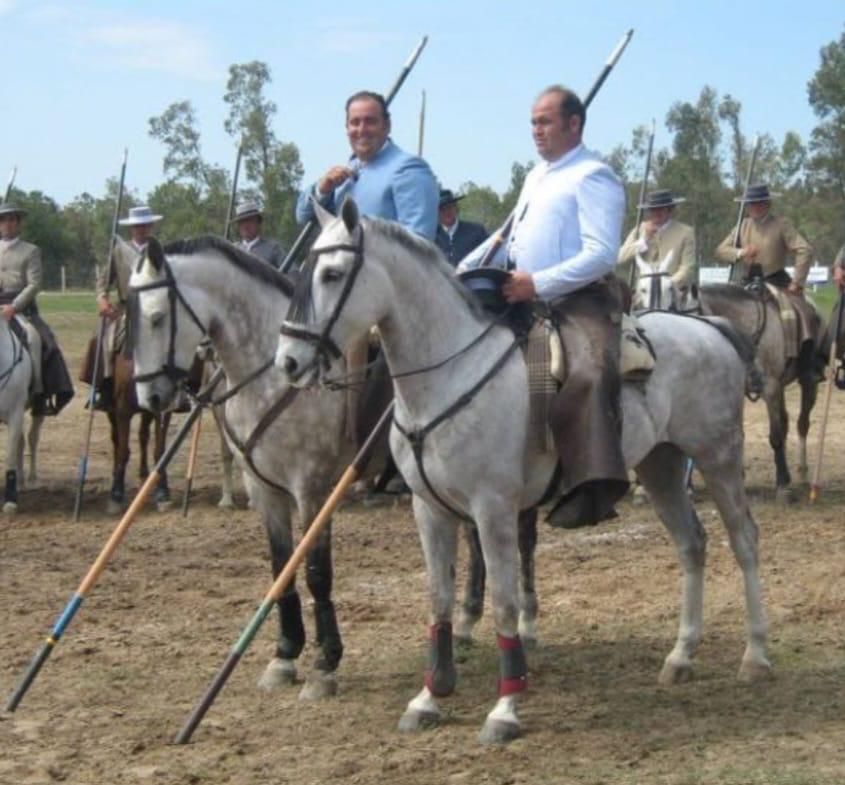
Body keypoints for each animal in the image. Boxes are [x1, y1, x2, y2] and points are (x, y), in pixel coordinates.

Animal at [128, 234, 387, 700]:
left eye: (157, 317)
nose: (151, 398)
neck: (273, 375)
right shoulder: (265, 490)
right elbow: (281, 565)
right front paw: (285, 655)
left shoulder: (312, 489)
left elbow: (317, 572)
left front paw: (325, 664)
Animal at [275, 198, 770, 744]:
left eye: (333, 274)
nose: (288, 362)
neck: (452, 377)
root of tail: (712, 329)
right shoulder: (429, 510)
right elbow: (439, 598)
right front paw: (430, 695)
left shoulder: (493, 509)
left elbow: (505, 600)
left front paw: (505, 707)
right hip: (661, 465)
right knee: (692, 544)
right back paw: (681, 656)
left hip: (718, 455)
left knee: (744, 539)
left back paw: (755, 655)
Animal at [633, 264, 820, 503]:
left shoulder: (771, 388)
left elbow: (776, 436)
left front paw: (783, 486)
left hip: (807, 384)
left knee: (801, 423)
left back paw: (803, 473)